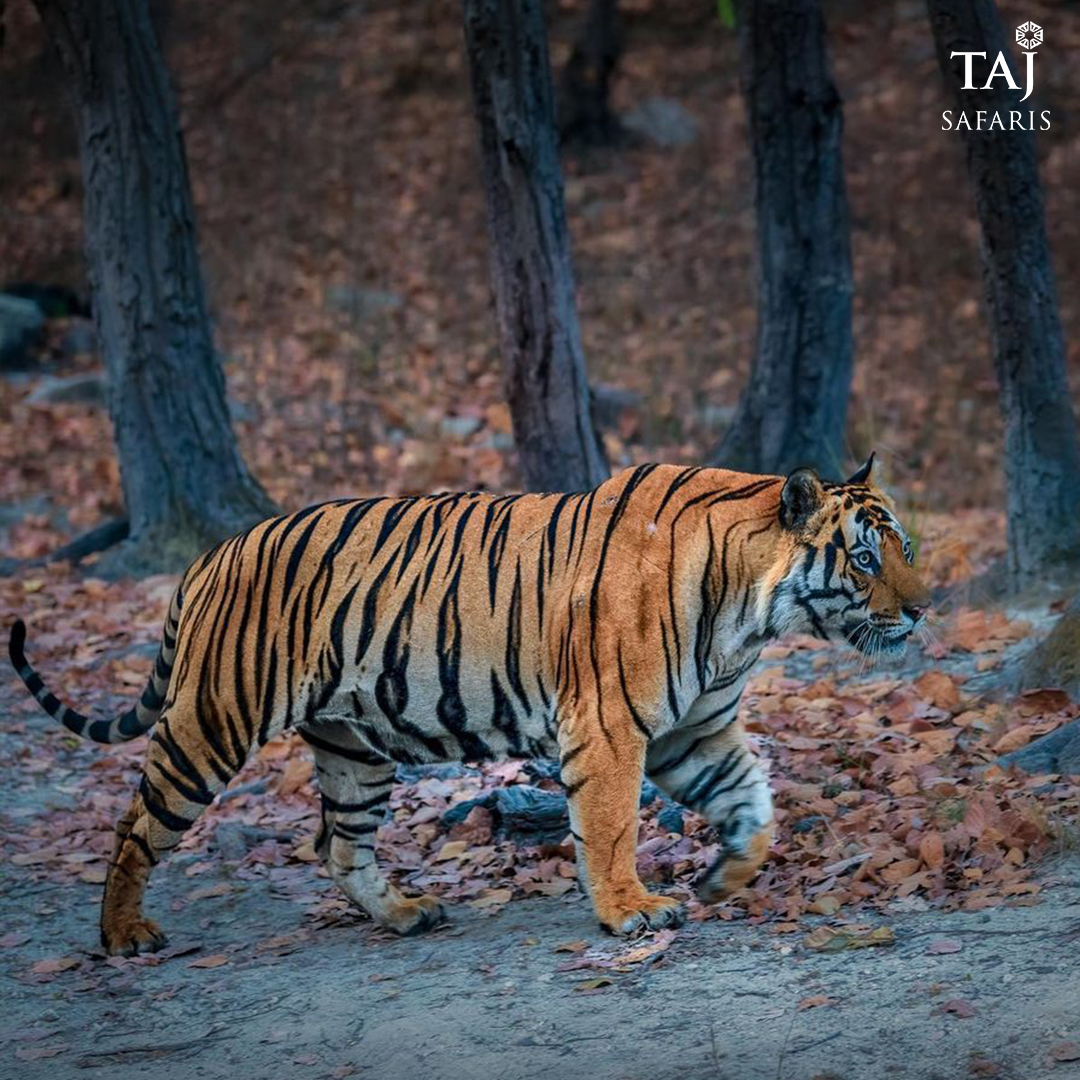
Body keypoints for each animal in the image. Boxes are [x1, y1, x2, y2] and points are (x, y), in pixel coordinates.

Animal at [9, 455, 931, 956]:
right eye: (863, 559)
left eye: (908, 548)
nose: (924, 609)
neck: (752, 612)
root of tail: (209, 556)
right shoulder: (611, 726)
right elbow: (611, 826)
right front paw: (632, 911)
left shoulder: (693, 731)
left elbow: (755, 802)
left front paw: (727, 876)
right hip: (212, 721)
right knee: (136, 825)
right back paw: (123, 934)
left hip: (354, 746)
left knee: (338, 845)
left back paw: (405, 913)